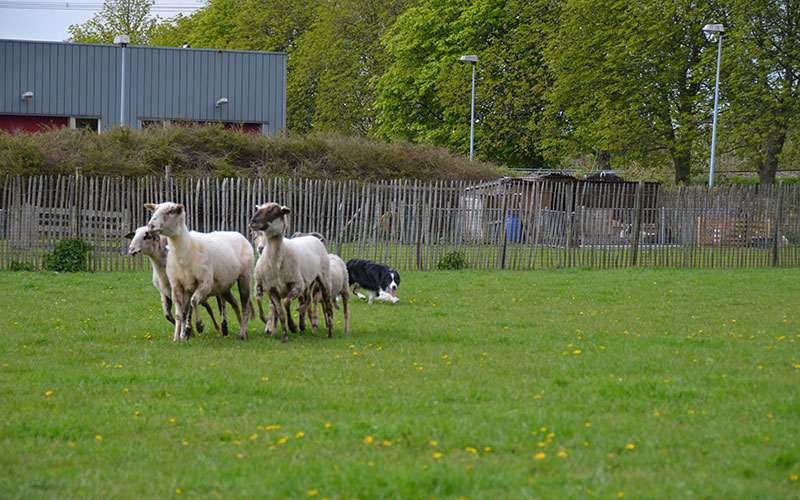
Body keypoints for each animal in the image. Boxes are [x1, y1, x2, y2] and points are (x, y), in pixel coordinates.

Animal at [146, 201, 253, 342]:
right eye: (155, 210)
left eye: (171, 211)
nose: (150, 226)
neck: (186, 249)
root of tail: (239, 235)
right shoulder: (177, 285)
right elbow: (180, 313)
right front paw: (177, 338)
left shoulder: (205, 282)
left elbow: (193, 302)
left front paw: (198, 325)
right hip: (224, 285)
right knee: (235, 304)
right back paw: (242, 331)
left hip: (245, 277)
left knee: (245, 307)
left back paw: (242, 334)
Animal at [252, 201, 336, 342]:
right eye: (258, 209)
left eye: (272, 210)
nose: (253, 221)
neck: (277, 262)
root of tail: (313, 238)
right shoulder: (271, 290)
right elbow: (280, 313)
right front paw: (284, 337)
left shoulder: (297, 285)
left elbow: (286, 302)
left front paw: (293, 327)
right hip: (309, 284)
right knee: (308, 301)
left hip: (323, 281)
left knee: (328, 308)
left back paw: (329, 334)